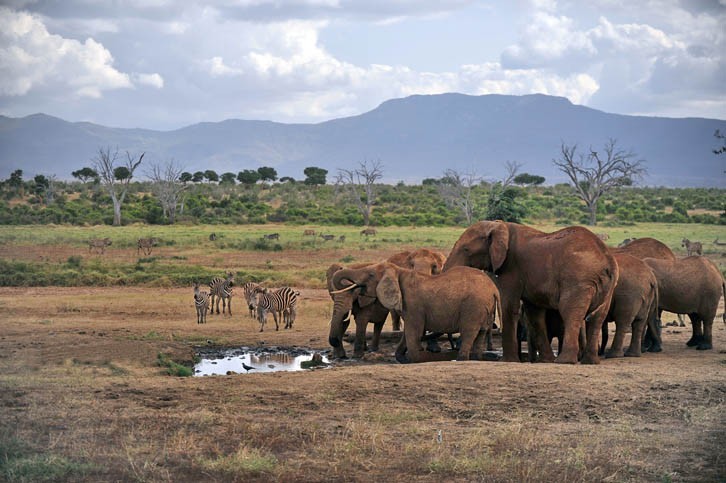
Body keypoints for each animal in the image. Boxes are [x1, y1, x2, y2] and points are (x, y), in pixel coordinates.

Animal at [332, 264, 500, 364]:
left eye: (371, 275)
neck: (398, 271)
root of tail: (494, 289)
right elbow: (407, 333)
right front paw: (402, 358)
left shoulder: (414, 305)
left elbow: (414, 332)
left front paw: (413, 359)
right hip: (484, 308)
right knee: (481, 334)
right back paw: (476, 358)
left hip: (473, 307)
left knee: (469, 333)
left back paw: (460, 359)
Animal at [444, 221, 620, 364]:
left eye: (466, 249)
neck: (499, 226)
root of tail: (608, 258)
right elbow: (534, 313)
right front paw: (545, 360)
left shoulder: (511, 268)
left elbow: (509, 305)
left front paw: (507, 361)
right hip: (607, 285)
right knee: (597, 318)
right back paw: (590, 362)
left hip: (578, 280)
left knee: (570, 313)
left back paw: (565, 361)